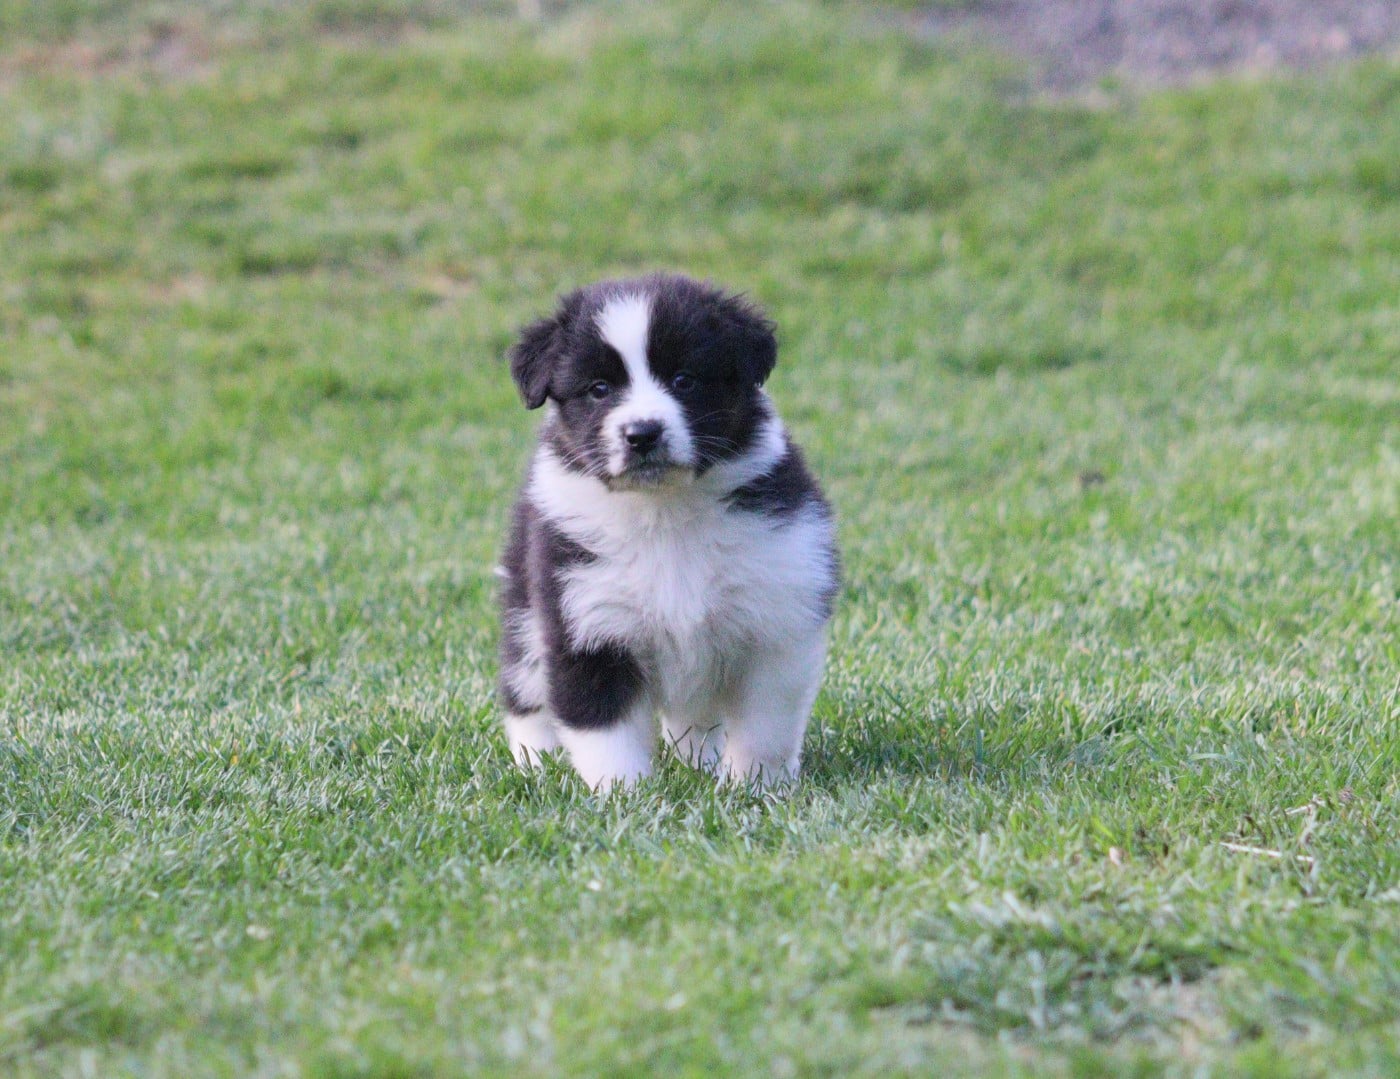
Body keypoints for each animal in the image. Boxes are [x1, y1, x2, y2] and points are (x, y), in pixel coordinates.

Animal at [497, 274, 839, 790]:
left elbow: (765, 726)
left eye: (684, 380)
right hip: (525, 607)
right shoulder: (584, 618)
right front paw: (625, 796)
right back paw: (536, 761)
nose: (642, 434)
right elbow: (604, 729)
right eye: (599, 389)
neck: (663, 512)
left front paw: (754, 789)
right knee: (525, 691)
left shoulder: (775, 619)